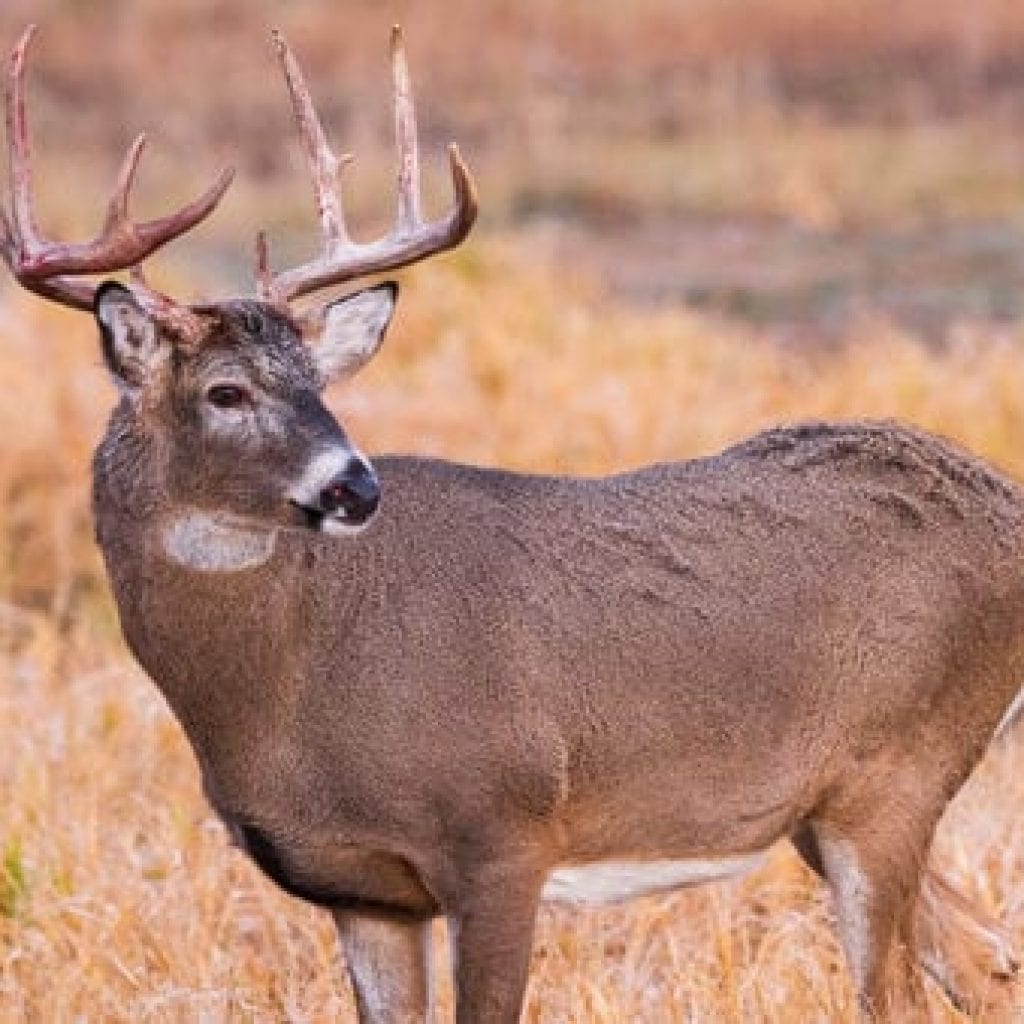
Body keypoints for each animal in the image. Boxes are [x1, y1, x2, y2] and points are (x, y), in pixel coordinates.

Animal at [3, 21, 1022, 1023]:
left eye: (319, 384)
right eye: (227, 392)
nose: (355, 487)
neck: (295, 678)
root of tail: (1003, 499)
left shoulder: (502, 833)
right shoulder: (365, 893)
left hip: (895, 772)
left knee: (903, 994)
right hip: (826, 807)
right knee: (986, 958)